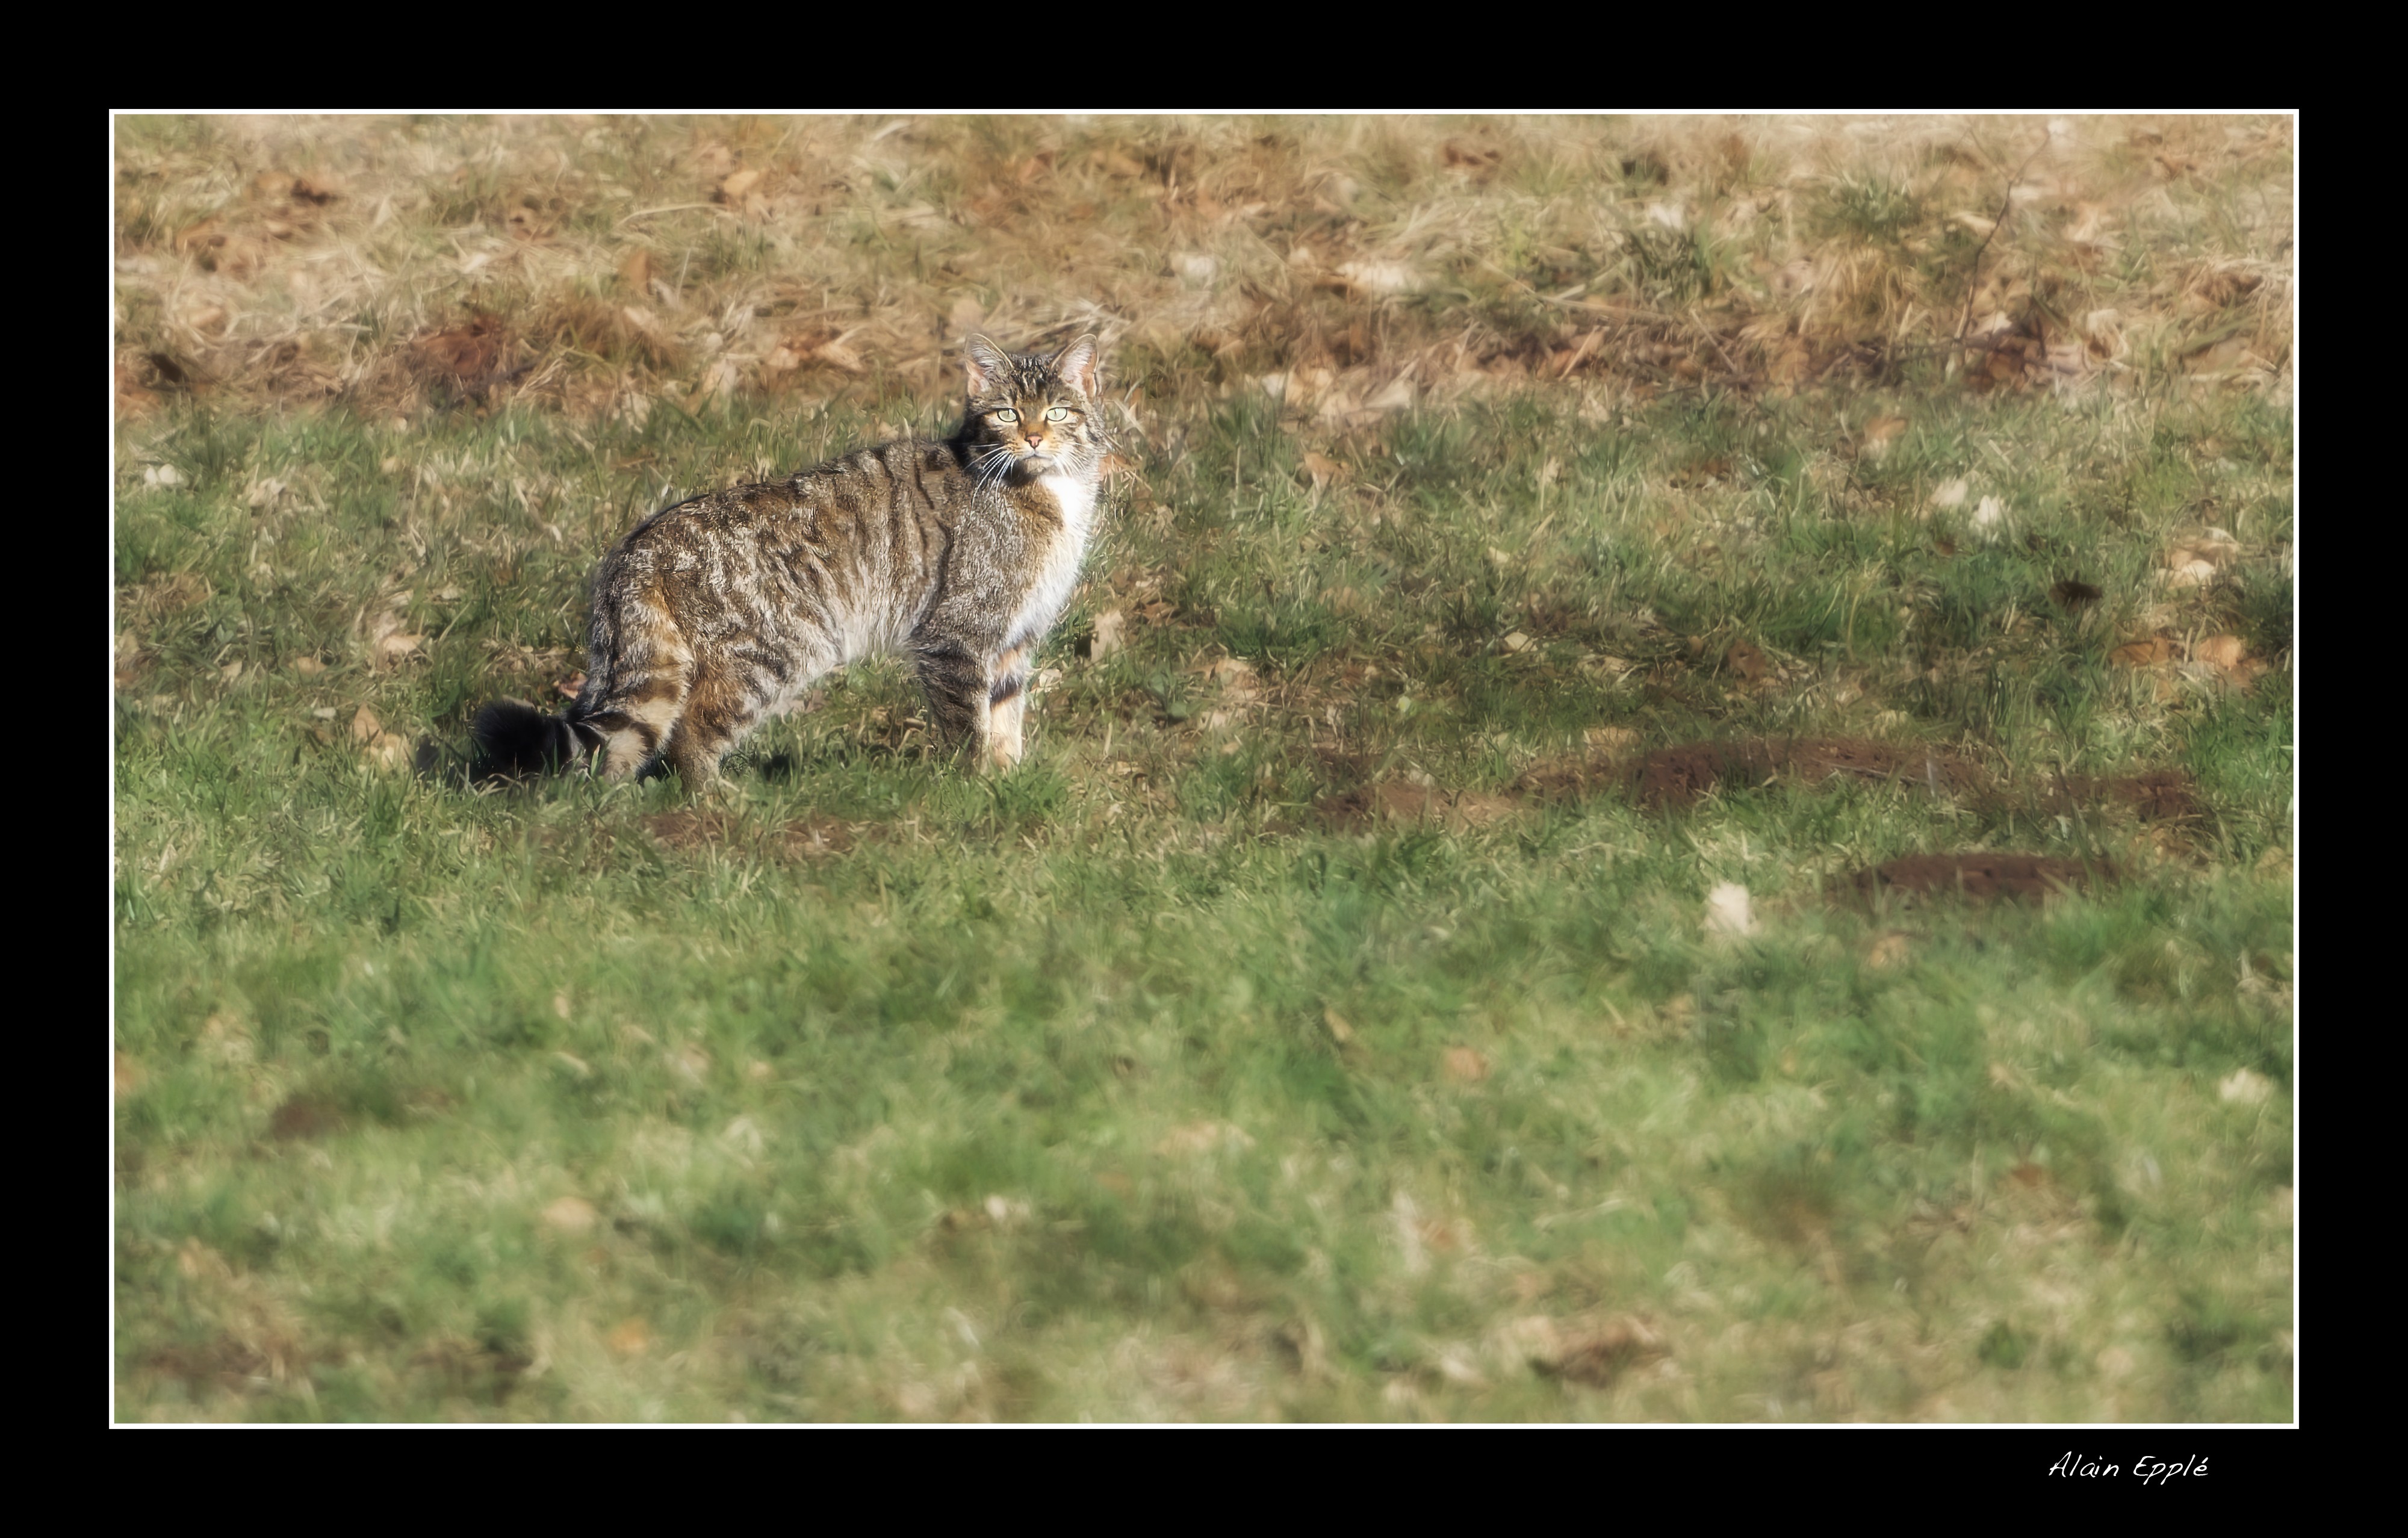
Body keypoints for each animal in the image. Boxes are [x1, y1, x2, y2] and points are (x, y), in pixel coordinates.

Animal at [470, 339, 1108, 794]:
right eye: (1006, 413)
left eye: (1057, 411)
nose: (1033, 437)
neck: (1046, 493)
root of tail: (635, 548)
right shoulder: (958, 635)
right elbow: (967, 728)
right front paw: (974, 790)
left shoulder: (1015, 639)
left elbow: (1005, 720)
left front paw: (1008, 781)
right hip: (777, 649)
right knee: (688, 731)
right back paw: (716, 797)